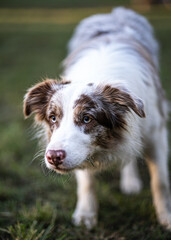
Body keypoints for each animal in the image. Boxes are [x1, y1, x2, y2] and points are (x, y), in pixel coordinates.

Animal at [23, 7, 171, 229]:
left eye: (87, 118)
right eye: (53, 117)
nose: (54, 157)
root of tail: (115, 12)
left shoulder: (156, 133)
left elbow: (160, 181)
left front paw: (166, 217)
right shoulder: (82, 151)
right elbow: (87, 181)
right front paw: (86, 215)